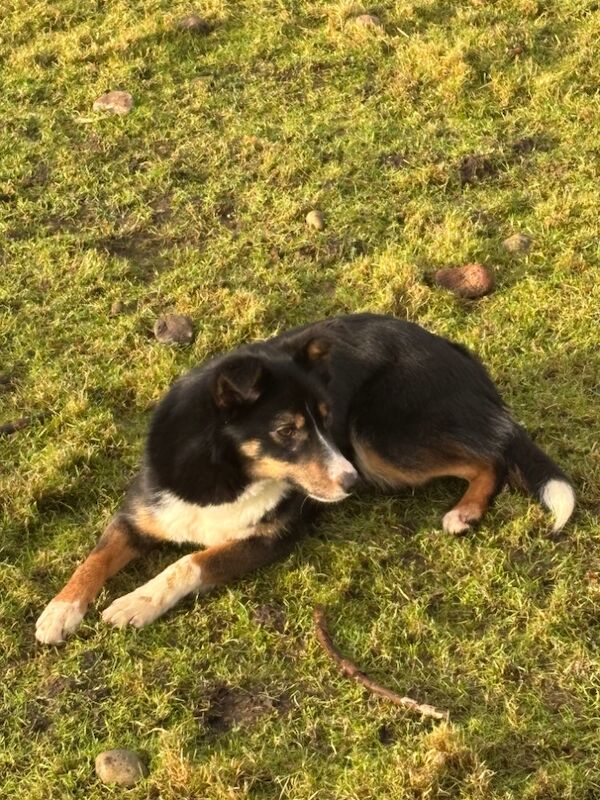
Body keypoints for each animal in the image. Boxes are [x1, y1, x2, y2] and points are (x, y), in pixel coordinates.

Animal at [34, 312, 576, 644]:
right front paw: (60, 610)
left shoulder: (268, 539)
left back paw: (465, 510)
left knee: (491, 457)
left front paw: (135, 603)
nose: (351, 483)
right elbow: (95, 557)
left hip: (378, 438)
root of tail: (461, 355)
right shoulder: (138, 514)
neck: (224, 473)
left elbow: (187, 563)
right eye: (287, 430)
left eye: (324, 416)